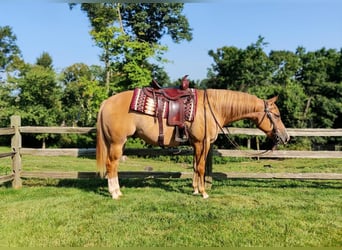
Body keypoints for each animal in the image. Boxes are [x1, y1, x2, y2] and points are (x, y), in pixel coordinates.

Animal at [95, 88, 288, 199]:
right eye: (277, 115)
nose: (286, 137)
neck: (213, 108)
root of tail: (106, 102)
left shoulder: (196, 144)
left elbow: (195, 166)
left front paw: (195, 189)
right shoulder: (203, 143)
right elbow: (201, 168)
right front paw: (203, 193)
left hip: (119, 143)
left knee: (114, 166)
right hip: (117, 143)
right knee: (111, 165)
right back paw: (115, 193)